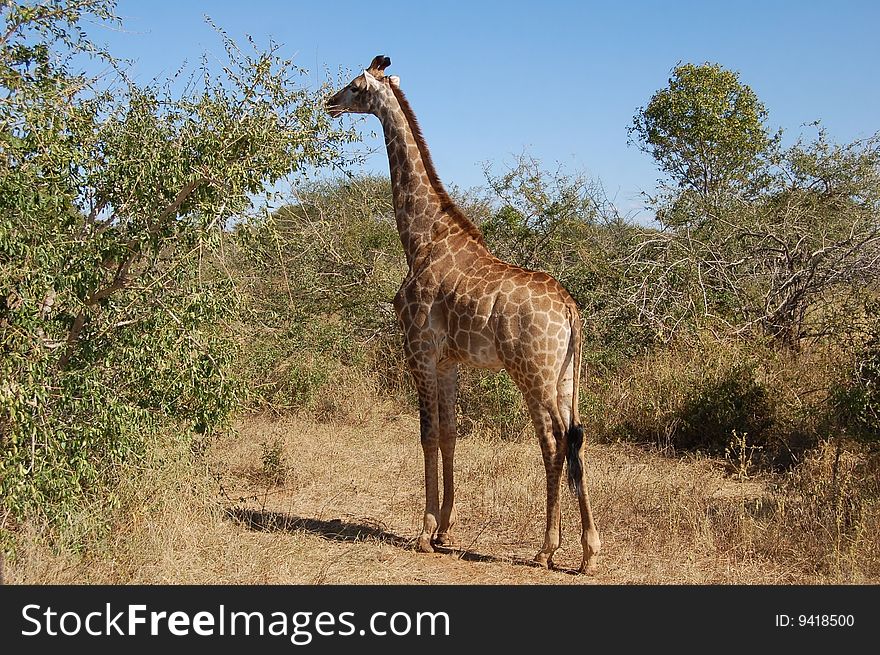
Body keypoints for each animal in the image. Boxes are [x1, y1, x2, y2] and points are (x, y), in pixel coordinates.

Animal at [326, 55, 600, 576]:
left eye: (353, 86)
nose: (327, 102)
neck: (420, 238)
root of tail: (571, 310)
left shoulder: (419, 350)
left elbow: (427, 434)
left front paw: (424, 532)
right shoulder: (449, 360)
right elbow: (451, 433)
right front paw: (445, 528)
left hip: (532, 372)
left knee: (555, 440)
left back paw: (556, 549)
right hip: (565, 376)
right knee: (572, 438)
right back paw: (579, 551)